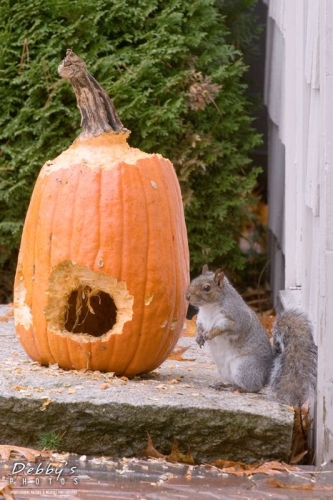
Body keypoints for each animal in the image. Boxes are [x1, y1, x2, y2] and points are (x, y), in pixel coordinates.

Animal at [185, 266, 318, 406]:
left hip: (244, 368)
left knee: (254, 387)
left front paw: (210, 334)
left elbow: (224, 328)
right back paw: (224, 385)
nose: (187, 296)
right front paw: (199, 337)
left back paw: (237, 389)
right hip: (226, 371)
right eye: (193, 280)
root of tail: (266, 377)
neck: (209, 308)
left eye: (207, 288)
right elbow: (200, 327)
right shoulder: (201, 319)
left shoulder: (236, 318)